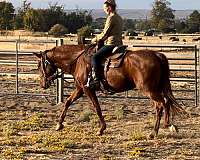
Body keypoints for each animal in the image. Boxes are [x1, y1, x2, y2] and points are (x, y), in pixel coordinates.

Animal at [33, 44, 185, 138]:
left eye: (39, 65)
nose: (42, 84)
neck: (78, 60)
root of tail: (156, 55)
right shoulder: (80, 89)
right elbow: (67, 102)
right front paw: (59, 124)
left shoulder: (87, 89)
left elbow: (96, 107)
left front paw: (101, 129)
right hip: (154, 89)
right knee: (164, 103)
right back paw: (165, 127)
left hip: (148, 90)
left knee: (162, 104)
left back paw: (160, 129)